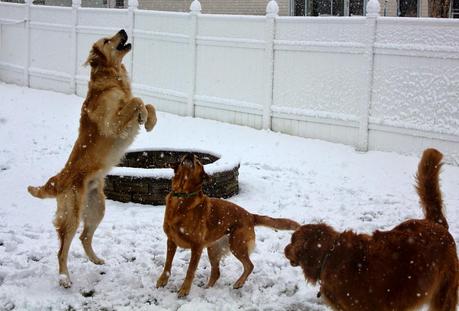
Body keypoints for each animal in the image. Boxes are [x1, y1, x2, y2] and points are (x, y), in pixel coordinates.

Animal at [27, 30, 156, 288]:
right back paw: (64, 278)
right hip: (72, 215)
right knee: (62, 249)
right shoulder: (112, 123)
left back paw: (96, 260)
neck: (112, 78)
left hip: (97, 208)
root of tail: (58, 180)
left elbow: (148, 102)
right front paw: (143, 116)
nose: (123, 30)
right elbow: (136, 100)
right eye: (106, 41)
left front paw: (149, 121)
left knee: (85, 236)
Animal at [157, 154, 302, 298]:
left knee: (249, 265)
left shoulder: (196, 246)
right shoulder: (171, 241)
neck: (182, 197)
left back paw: (239, 283)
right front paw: (162, 280)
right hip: (213, 249)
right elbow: (167, 263)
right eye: (183, 157)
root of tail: (251, 216)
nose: (190, 154)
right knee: (216, 273)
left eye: (198, 162)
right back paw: (207, 289)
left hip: (236, 245)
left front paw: (184, 290)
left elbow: (190, 270)